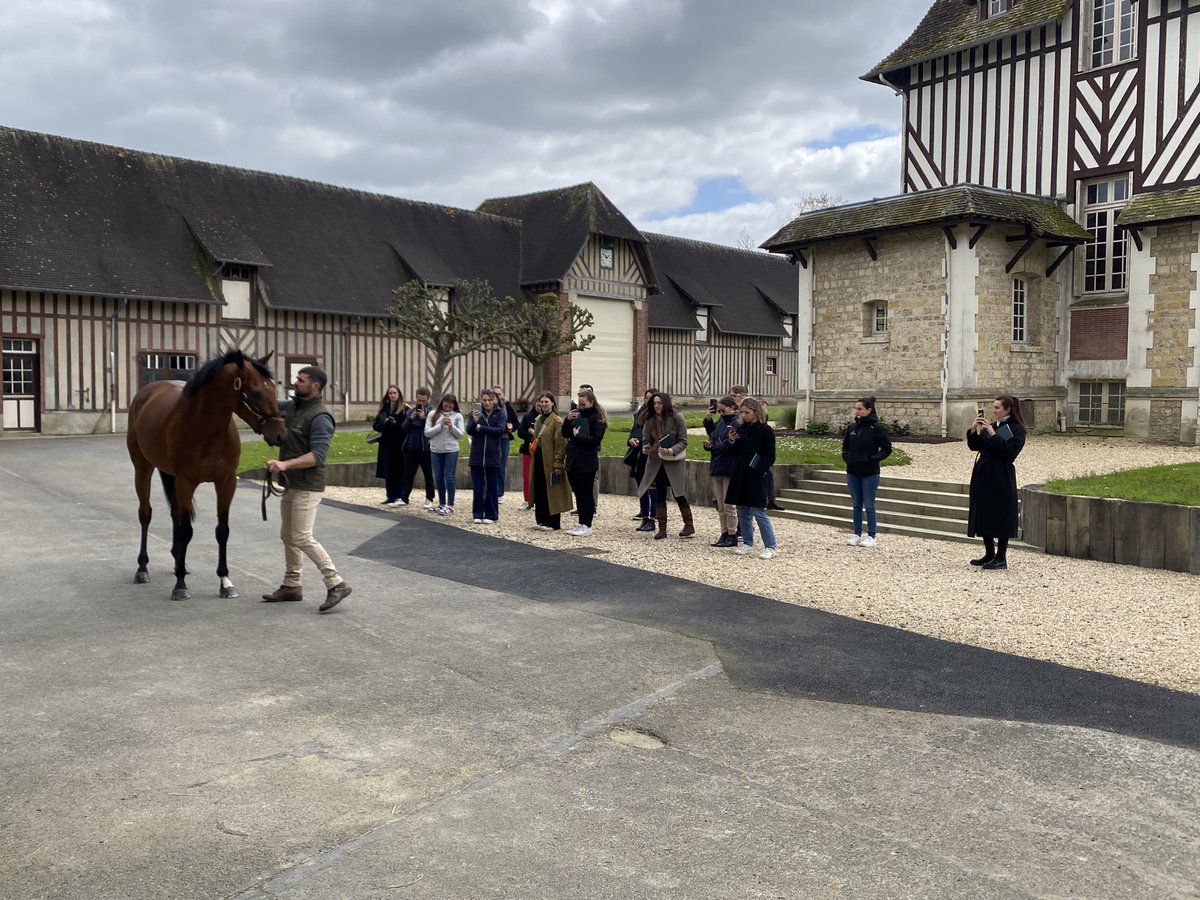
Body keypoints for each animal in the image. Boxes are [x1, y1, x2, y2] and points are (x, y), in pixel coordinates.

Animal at [126, 348, 285, 602]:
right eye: (255, 392)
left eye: (273, 388)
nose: (280, 435)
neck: (207, 430)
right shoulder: (186, 482)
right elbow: (186, 530)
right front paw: (180, 585)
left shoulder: (226, 483)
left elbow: (222, 531)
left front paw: (225, 582)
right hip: (143, 468)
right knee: (146, 514)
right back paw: (142, 568)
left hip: (169, 475)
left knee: (174, 514)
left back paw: (177, 560)